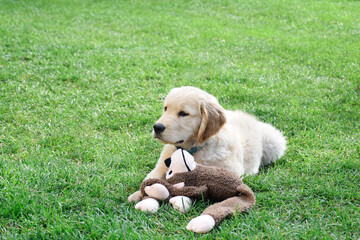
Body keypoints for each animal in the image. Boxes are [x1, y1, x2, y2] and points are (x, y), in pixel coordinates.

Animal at [128, 86, 286, 202]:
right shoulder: (161, 166)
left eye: (183, 113)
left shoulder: (232, 170)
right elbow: (150, 178)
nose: (157, 127)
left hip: (274, 142)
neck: (193, 149)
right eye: (165, 108)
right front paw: (137, 194)